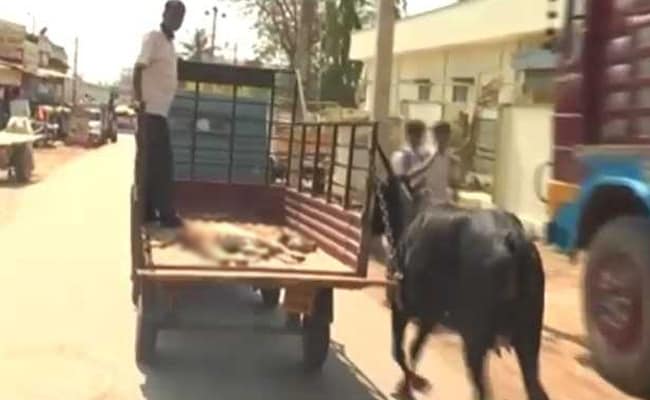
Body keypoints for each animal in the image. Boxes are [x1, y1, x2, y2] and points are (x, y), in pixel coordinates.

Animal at [370, 146, 548, 400]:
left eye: (377, 195)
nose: (367, 220)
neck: (411, 215)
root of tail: (515, 241)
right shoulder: (429, 316)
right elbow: (414, 349)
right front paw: (410, 383)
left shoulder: (403, 306)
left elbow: (398, 351)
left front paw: (410, 385)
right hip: (528, 341)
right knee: (534, 388)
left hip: (475, 339)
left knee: (482, 391)